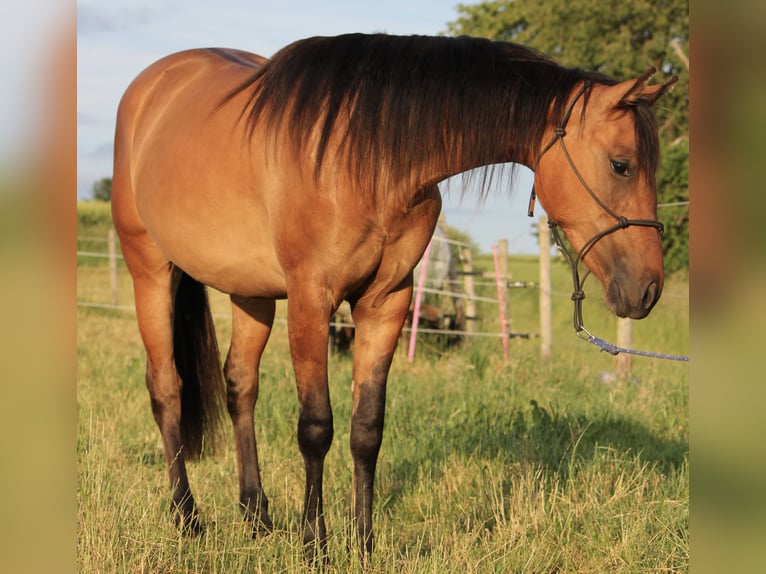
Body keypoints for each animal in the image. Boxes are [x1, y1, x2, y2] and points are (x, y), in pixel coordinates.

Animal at [111, 33, 677, 560]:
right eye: (622, 165)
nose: (648, 289)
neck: (366, 153)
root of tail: (151, 87)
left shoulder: (387, 303)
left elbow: (367, 428)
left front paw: (363, 544)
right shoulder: (311, 302)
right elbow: (316, 427)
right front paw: (315, 544)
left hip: (250, 292)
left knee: (239, 387)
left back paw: (256, 517)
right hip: (149, 270)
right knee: (166, 388)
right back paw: (187, 518)